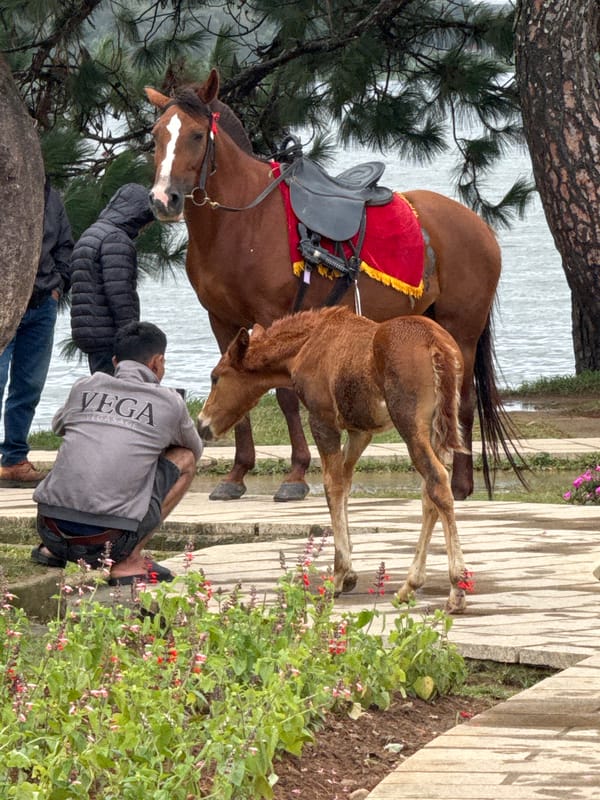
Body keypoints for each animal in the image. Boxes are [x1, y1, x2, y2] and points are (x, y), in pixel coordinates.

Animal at [145, 69, 523, 503]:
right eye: (156, 134)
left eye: (195, 135)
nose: (164, 200)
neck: (241, 224)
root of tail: (478, 224)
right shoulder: (221, 321)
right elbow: (232, 380)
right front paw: (237, 475)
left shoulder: (274, 315)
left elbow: (286, 396)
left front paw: (295, 475)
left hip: (462, 328)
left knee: (463, 401)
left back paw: (460, 486)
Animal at [198, 306, 471, 613]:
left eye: (216, 376)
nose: (202, 424)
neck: (301, 351)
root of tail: (439, 347)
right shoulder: (360, 431)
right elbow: (346, 483)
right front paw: (349, 572)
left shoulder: (323, 420)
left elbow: (332, 487)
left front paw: (339, 575)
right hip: (438, 430)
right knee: (429, 494)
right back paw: (409, 586)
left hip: (410, 424)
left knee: (437, 482)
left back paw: (456, 589)